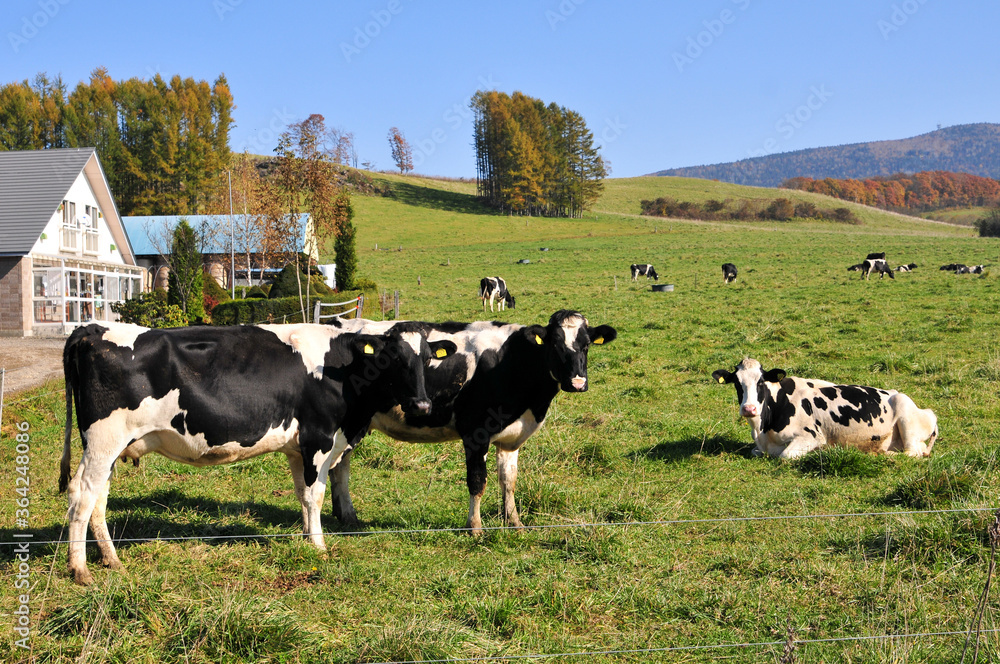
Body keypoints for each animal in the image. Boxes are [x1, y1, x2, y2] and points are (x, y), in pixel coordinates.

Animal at [58, 322, 458, 588]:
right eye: (393, 357)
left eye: (426, 359)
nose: (422, 405)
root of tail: (91, 329)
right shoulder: (318, 437)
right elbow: (316, 495)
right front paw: (319, 547)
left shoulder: (297, 447)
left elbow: (302, 495)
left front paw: (305, 537)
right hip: (104, 439)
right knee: (81, 494)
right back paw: (81, 570)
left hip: (109, 446)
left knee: (98, 498)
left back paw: (112, 560)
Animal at [334, 312, 616, 536]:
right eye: (555, 344)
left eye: (586, 345)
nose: (577, 383)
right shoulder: (475, 432)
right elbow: (477, 481)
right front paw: (475, 527)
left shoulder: (511, 438)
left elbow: (509, 480)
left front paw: (514, 522)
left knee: (340, 465)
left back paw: (346, 516)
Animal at [712, 358, 936, 462]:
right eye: (737, 384)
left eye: (760, 382)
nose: (749, 409)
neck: (763, 428)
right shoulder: (759, 447)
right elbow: (755, 451)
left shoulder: (811, 436)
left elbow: (785, 455)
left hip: (905, 412)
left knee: (911, 453)